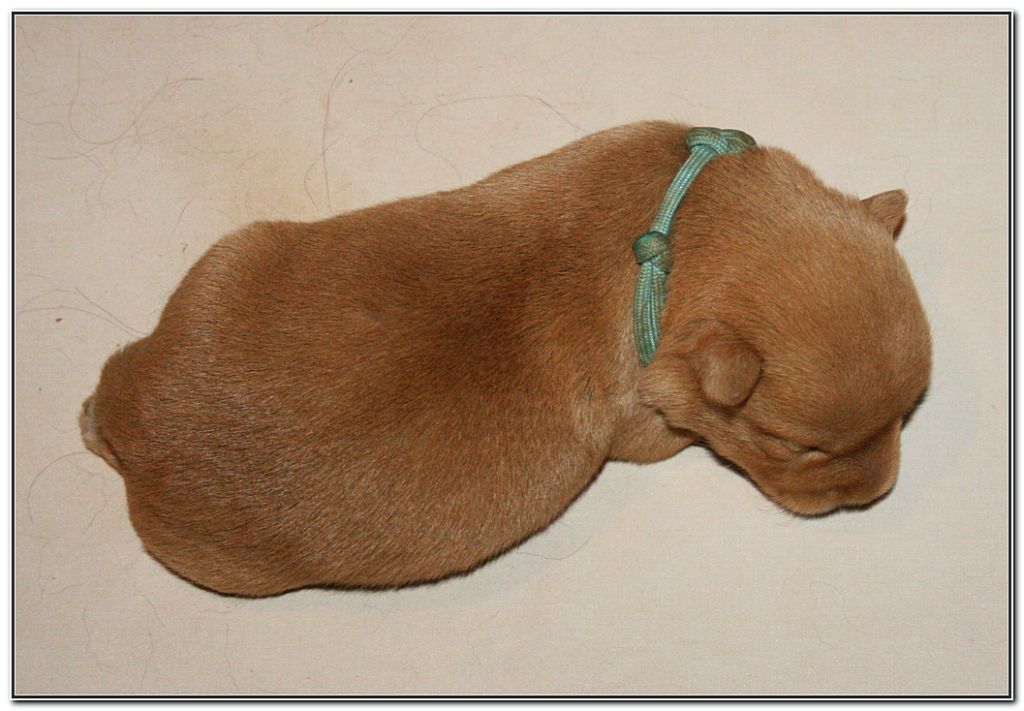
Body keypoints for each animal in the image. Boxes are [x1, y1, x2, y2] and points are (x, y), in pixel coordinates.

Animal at [80, 121, 931, 596]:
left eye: (908, 413)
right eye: (798, 446)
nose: (879, 492)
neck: (682, 225)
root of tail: (135, 427)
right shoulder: (649, 424)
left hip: (229, 258)